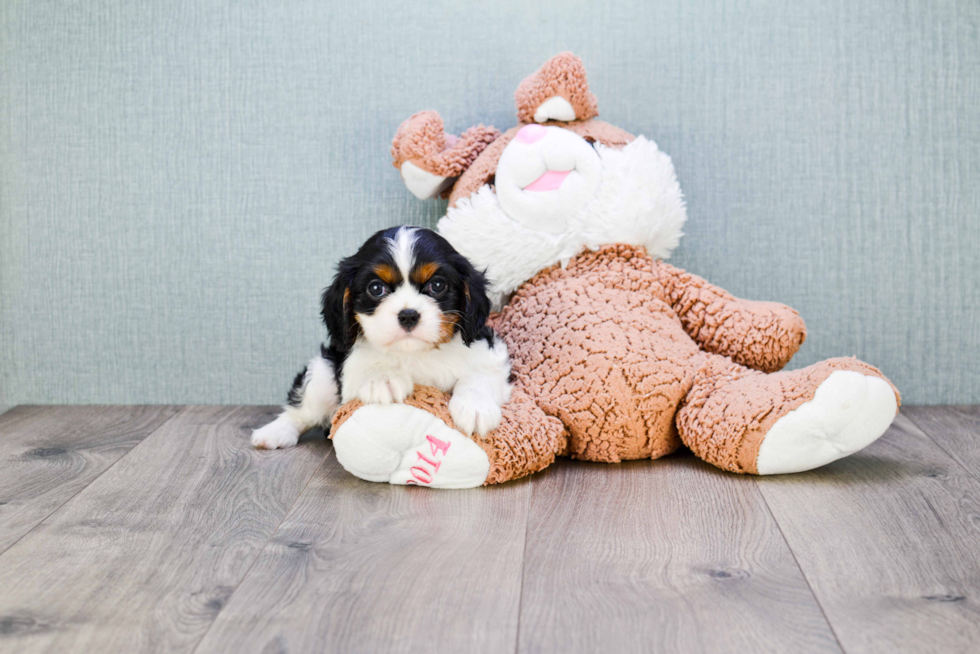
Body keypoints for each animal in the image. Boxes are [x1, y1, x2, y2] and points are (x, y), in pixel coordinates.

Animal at [251, 227, 512, 452]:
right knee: (302, 411)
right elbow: (367, 366)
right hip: (322, 372)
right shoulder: (347, 369)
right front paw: (382, 379)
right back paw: (274, 432)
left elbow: (479, 374)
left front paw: (475, 406)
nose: (408, 315)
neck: (414, 353)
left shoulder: (490, 353)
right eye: (376, 289)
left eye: (437, 285)